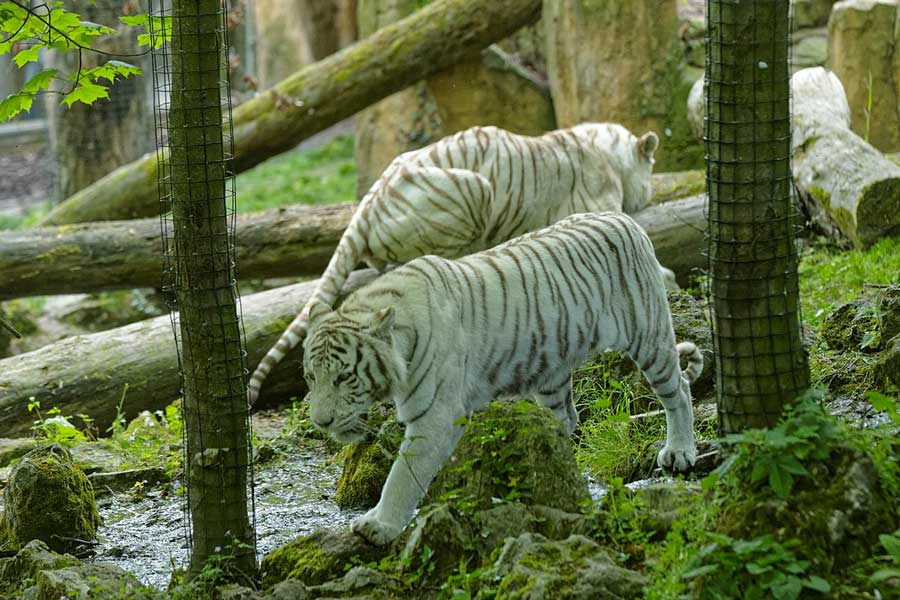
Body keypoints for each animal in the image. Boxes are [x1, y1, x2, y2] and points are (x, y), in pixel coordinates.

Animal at [302, 213, 704, 548]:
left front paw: (378, 525)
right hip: (551, 372)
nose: (321, 422)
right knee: (565, 421)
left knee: (679, 392)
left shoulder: (435, 415)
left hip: (648, 335)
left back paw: (680, 452)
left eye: (344, 377)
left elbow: (402, 473)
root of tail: (625, 219)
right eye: (310, 376)